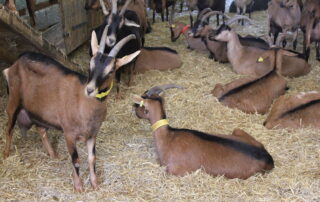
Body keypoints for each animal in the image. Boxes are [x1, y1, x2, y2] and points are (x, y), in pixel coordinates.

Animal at [2, 32, 140, 193]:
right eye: (90, 64)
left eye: (111, 70)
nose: (90, 90)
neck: (84, 105)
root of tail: (15, 63)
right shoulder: (69, 133)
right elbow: (76, 160)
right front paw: (78, 186)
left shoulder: (92, 134)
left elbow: (92, 158)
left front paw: (95, 184)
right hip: (14, 99)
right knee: (9, 127)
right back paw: (6, 154)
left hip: (39, 110)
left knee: (41, 129)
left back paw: (53, 154)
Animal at [132, 84, 272, 179]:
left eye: (141, 104)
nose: (133, 107)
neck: (168, 137)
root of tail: (268, 158)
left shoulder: (176, 169)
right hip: (238, 130)